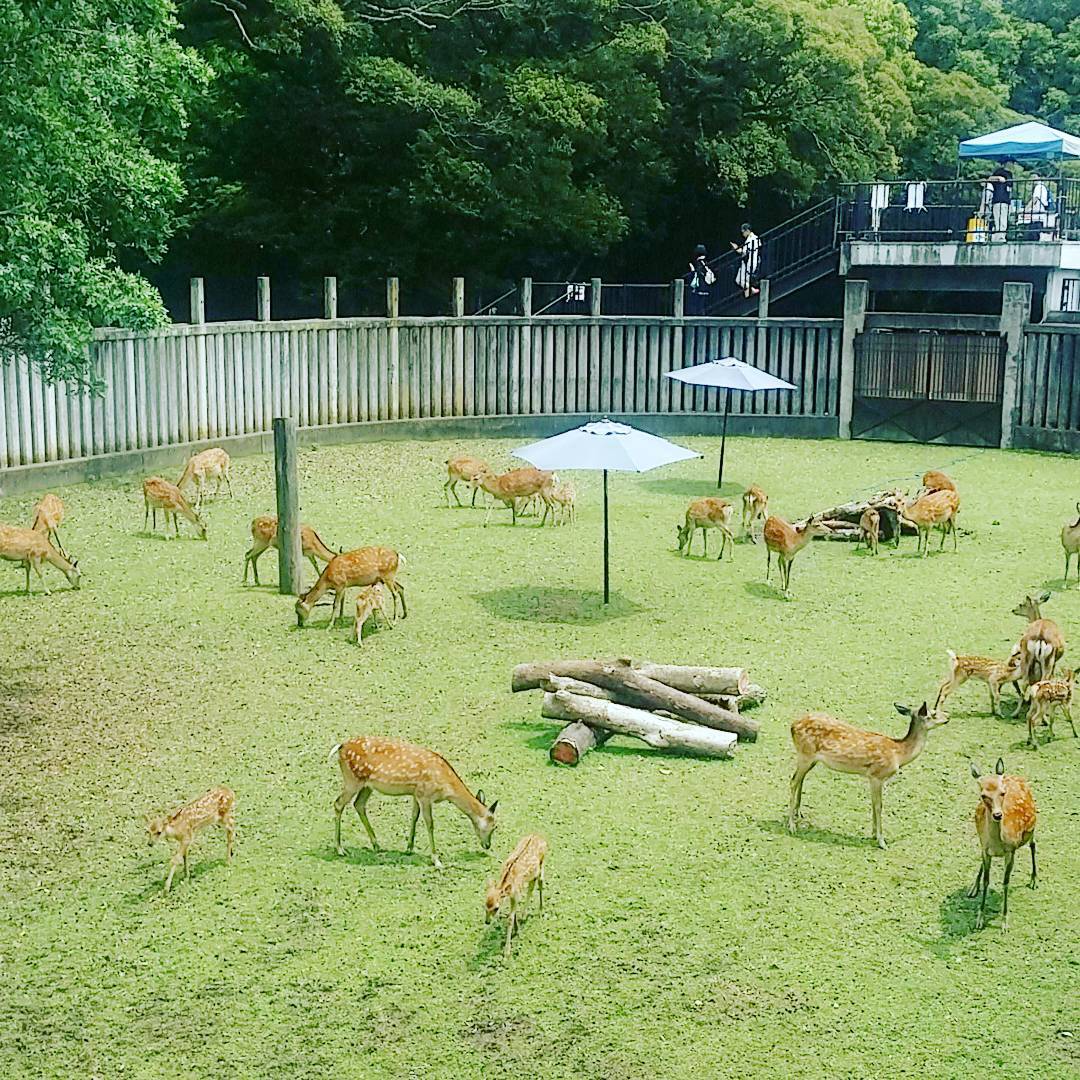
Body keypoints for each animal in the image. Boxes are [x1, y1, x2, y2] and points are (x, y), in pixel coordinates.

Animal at [329, 736, 498, 869]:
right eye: (494, 826)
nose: (488, 845)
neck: (445, 786)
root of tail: (341, 746)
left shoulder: (416, 794)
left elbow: (414, 817)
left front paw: (409, 848)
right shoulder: (425, 795)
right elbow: (430, 824)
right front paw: (436, 860)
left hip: (367, 785)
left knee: (358, 804)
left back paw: (376, 845)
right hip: (352, 780)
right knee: (338, 803)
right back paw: (340, 849)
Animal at [788, 702, 949, 849]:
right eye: (933, 713)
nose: (948, 717)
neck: (899, 754)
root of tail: (793, 725)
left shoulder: (872, 777)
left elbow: (872, 803)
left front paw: (873, 833)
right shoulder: (877, 775)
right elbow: (879, 805)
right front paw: (882, 841)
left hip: (811, 759)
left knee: (800, 780)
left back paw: (798, 814)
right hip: (805, 754)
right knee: (793, 781)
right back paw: (792, 826)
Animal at [968, 759, 1036, 930]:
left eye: (1003, 793)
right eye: (983, 795)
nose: (998, 815)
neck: (998, 844)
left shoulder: (1011, 851)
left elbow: (1006, 882)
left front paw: (1004, 922)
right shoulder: (985, 849)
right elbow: (986, 880)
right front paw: (979, 919)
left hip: (1032, 828)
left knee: (1033, 845)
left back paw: (1034, 880)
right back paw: (973, 887)